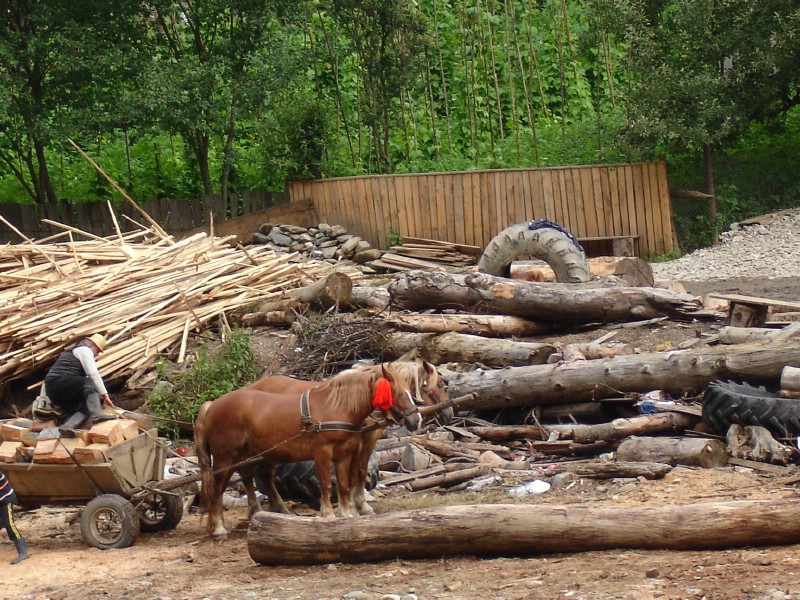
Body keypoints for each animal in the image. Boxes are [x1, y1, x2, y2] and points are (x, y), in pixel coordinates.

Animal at [195, 366, 418, 540]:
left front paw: (347, 514)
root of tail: (212, 405)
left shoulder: (344, 454)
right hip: (225, 459)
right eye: (397, 392)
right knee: (219, 489)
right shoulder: (322, 452)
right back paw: (219, 528)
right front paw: (328, 514)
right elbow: (326, 483)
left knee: (249, 477)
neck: (336, 407)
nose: (415, 420)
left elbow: (344, 484)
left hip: (248, 454)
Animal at [250, 356, 450, 516]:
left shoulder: (365, 442)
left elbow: (358, 471)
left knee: (266, 474)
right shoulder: (360, 442)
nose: (416, 420)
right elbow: (355, 473)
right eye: (440, 384)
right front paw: (356, 506)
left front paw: (356, 505)